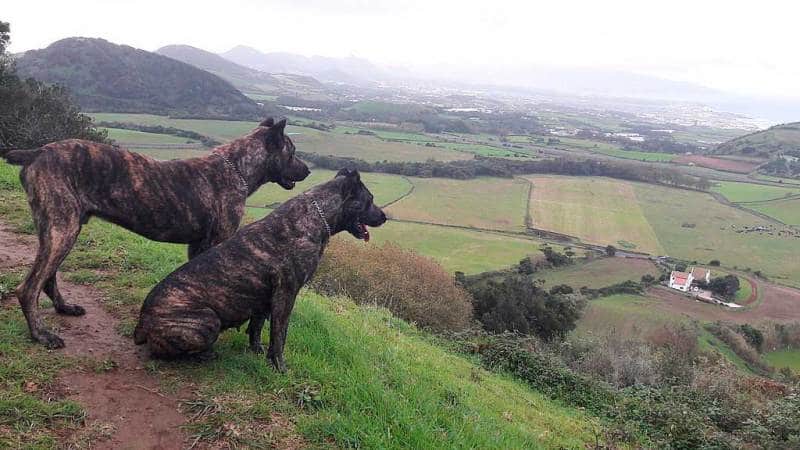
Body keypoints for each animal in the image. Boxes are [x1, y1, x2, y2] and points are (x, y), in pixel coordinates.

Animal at [0, 118, 309, 348]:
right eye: (292, 151)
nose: (307, 170)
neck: (237, 168)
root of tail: (38, 152)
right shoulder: (218, 242)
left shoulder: (198, 246)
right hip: (62, 230)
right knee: (28, 288)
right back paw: (41, 335)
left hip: (59, 229)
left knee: (47, 278)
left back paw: (64, 308)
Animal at [133, 168, 386, 371]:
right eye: (370, 199)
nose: (384, 216)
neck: (317, 214)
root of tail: (141, 324)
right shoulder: (286, 294)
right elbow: (279, 335)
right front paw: (279, 367)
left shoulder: (265, 299)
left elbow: (256, 327)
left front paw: (256, 352)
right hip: (208, 320)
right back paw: (205, 355)